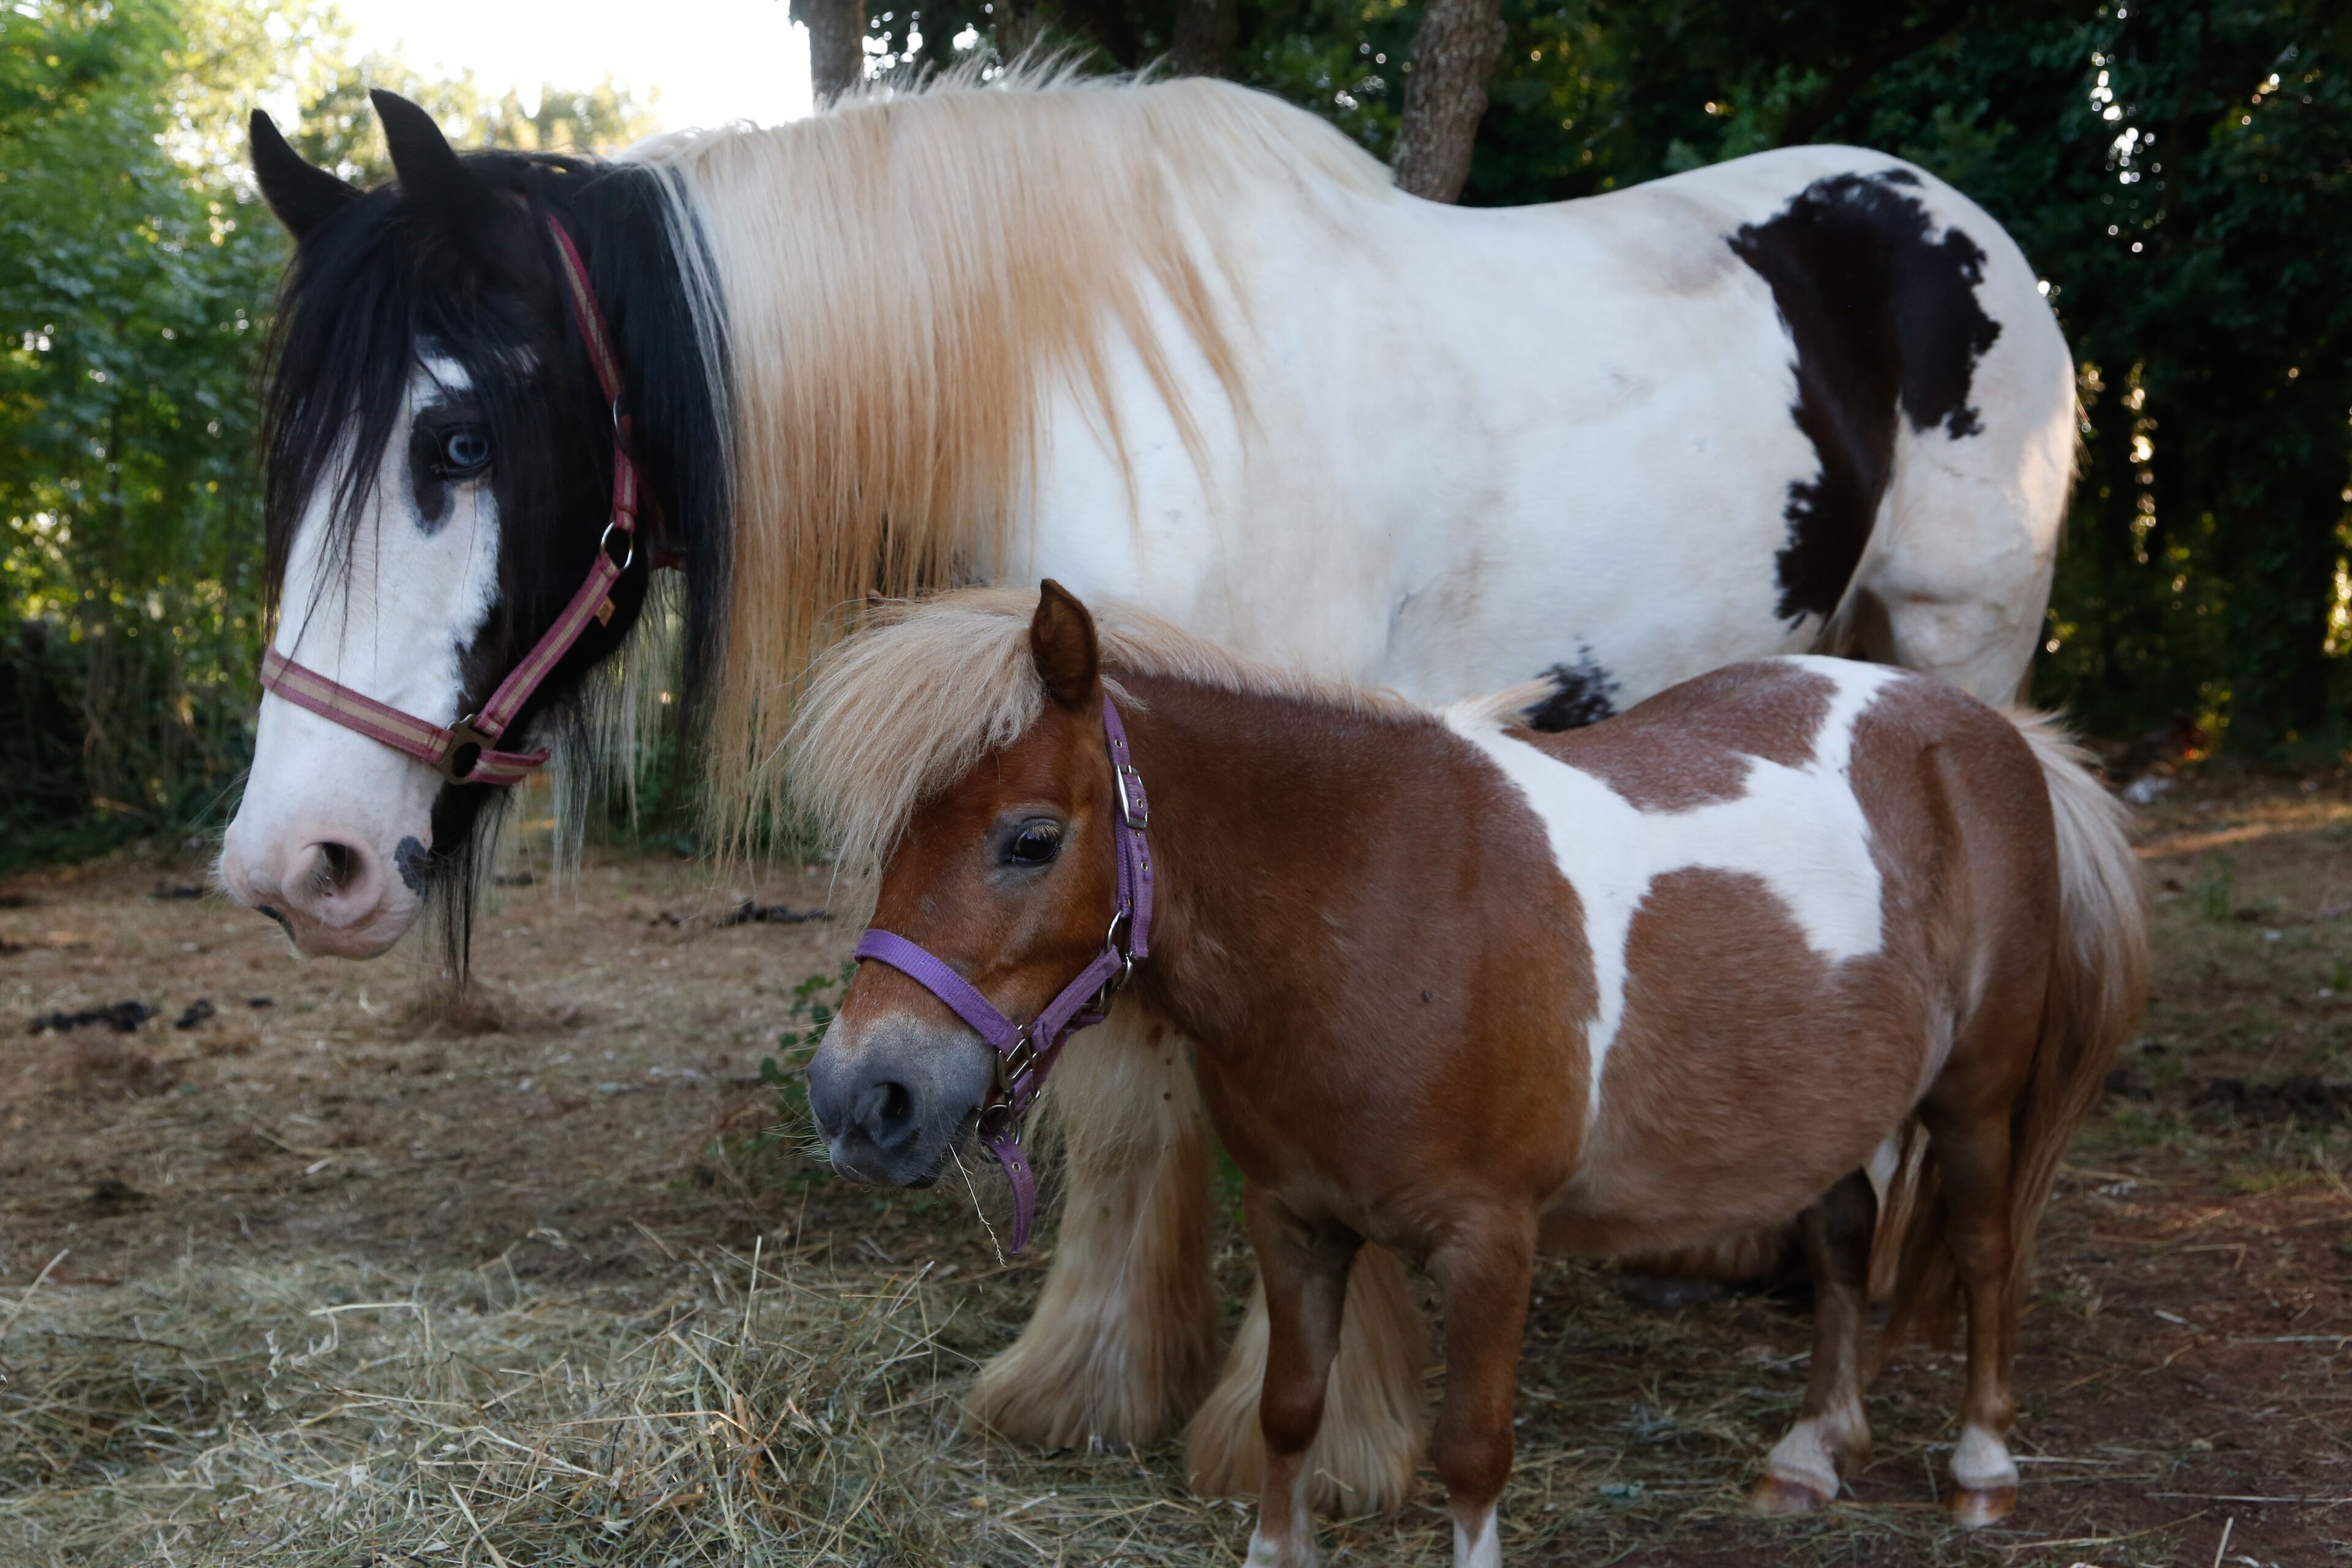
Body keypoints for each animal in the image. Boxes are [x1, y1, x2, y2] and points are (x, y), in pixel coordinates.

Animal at [217, 69, 2081, 1506]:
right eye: (287, 451)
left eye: (456, 440)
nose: (298, 863)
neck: (1086, 386)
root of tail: (1948, 217)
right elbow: (1125, 1104)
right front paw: (1092, 1383)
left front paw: (1324, 1441)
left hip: (1959, 652)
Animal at [796, 582, 2146, 1565]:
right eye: (893, 841)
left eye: (1030, 839)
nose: (864, 1101)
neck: (1380, 908)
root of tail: (1985, 731)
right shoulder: (1296, 1216)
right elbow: (1291, 1408)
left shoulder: (1492, 1240)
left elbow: (1472, 1450)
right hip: (1810, 1107)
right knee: (1841, 1238)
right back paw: (1809, 1454)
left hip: (1973, 1099)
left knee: (1983, 1249)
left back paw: (1981, 1470)